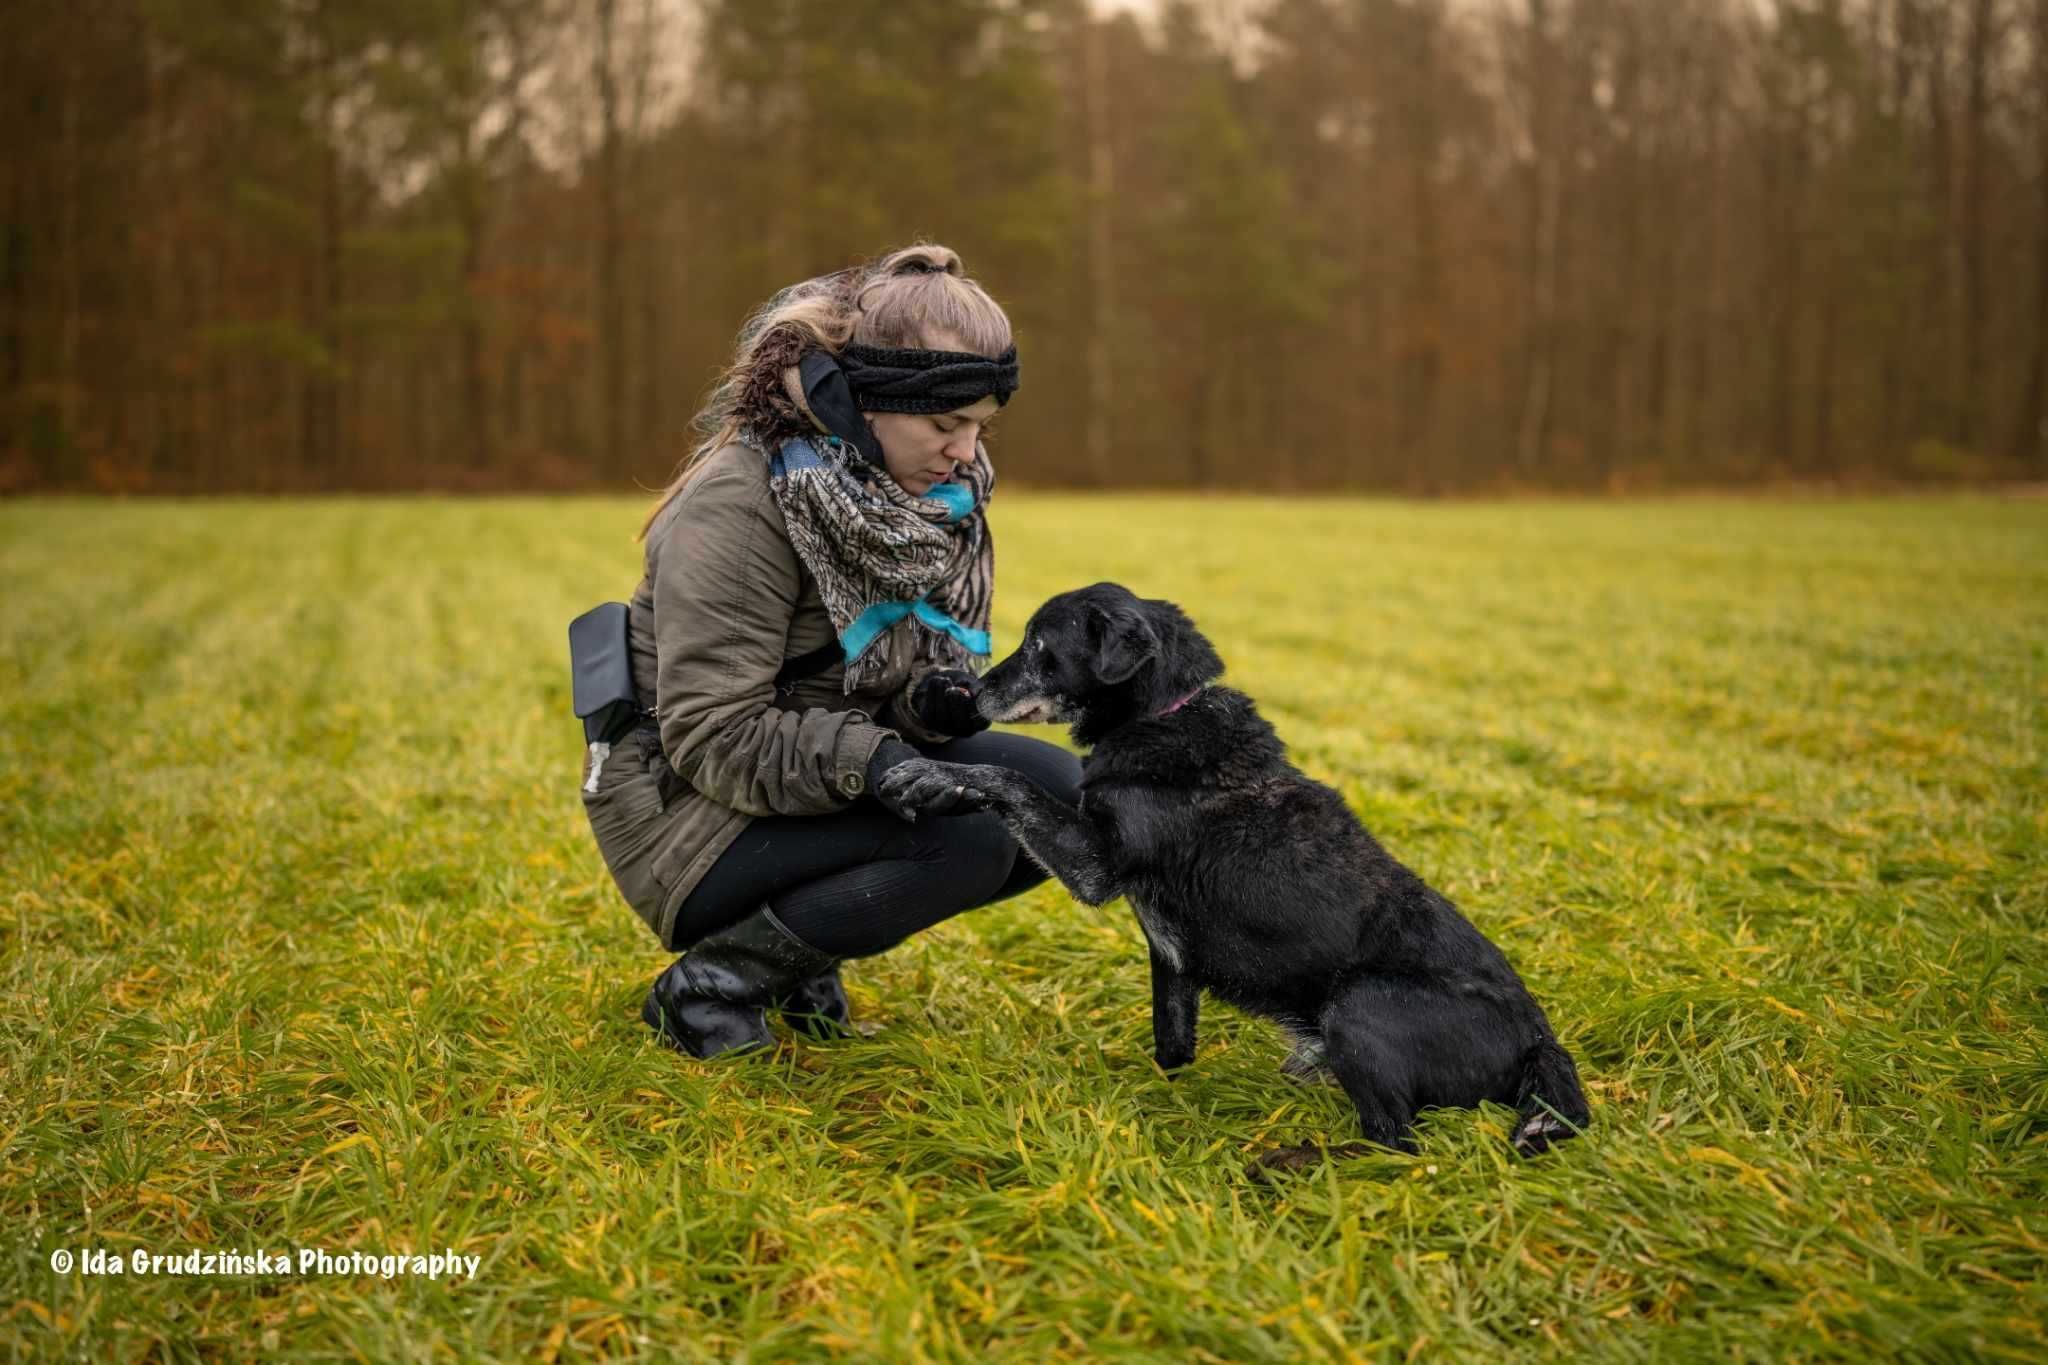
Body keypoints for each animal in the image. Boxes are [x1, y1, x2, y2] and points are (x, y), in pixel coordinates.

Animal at [872, 581, 1589, 1170]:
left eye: (1039, 643)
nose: (968, 691)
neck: (1163, 714)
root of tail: (1540, 1038)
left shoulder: (1094, 866)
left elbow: (1007, 779)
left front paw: (933, 773)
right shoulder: (1169, 957)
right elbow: (1172, 1043)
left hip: (1357, 1005)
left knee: (1399, 1144)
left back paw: (1292, 1159)